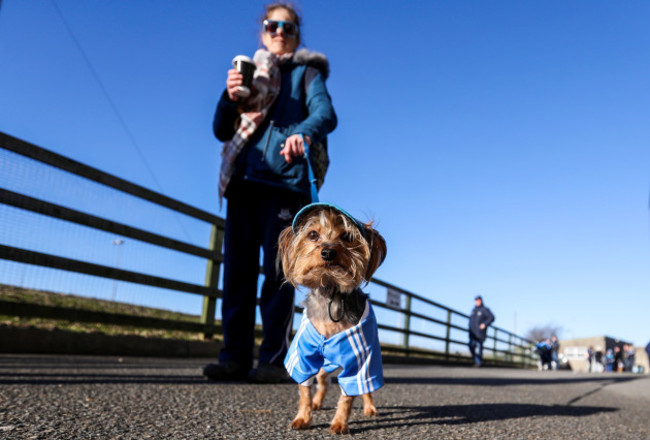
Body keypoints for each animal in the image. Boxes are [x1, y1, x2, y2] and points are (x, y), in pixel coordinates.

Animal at [278, 204, 384, 436]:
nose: (328, 252)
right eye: (312, 235)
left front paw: (340, 423)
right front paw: (302, 417)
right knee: (322, 380)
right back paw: (317, 403)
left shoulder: (358, 359)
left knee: (366, 387)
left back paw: (370, 408)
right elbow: (304, 391)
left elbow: (348, 395)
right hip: (323, 364)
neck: (330, 290)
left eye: (347, 236)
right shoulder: (303, 357)